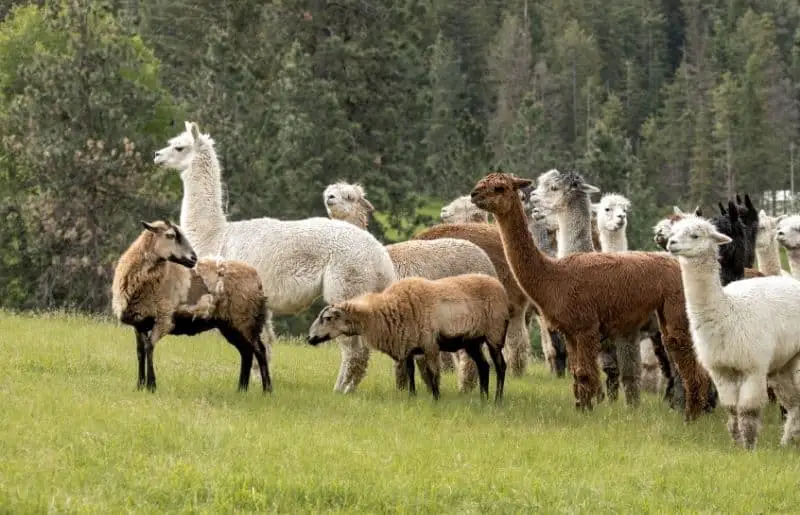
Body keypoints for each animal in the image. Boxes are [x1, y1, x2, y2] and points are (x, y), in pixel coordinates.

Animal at [109, 220, 274, 394]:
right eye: (170, 235)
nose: (194, 258)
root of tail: (258, 279)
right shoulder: (139, 323)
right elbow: (140, 351)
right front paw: (140, 385)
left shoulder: (164, 319)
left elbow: (149, 347)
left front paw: (151, 385)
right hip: (230, 324)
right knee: (246, 352)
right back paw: (241, 389)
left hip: (246, 319)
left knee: (260, 350)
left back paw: (267, 390)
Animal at [152, 122, 396, 396]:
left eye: (179, 147)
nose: (157, 155)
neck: (217, 235)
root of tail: (381, 258)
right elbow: (265, 344)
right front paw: (263, 382)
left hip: (347, 283)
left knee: (354, 348)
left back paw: (340, 390)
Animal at [304, 274, 510, 404]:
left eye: (327, 318)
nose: (309, 338)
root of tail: (499, 286)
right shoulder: (408, 345)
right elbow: (410, 372)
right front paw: (412, 396)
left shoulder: (430, 344)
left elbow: (432, 372)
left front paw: (436, 398)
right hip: (472, 341)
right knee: (484, 366)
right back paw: (483, 397)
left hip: (495, 334)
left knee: (500, 366)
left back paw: (498, 399)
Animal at [468, 171, 712, 422]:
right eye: (482, 182)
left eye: (500, 188)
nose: (474, 194)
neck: (554, 275)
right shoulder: (570, 331)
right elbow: (577, 375)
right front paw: (581, 410)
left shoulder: (586, 327)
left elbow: (586, 375)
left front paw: (586, 416)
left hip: (676, 312)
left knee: (690, 366)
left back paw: (691, 418)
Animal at [664, 218, 800, 452]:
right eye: (673, 232)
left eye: (695, 235)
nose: (671, 243)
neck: (729, 315)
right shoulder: (721, 370)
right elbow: (731, 409)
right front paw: (737, 444)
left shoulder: (754, 367)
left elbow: (747, 411)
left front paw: (750, 448)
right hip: (784, 363)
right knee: (793, 403)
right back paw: (785, 442)